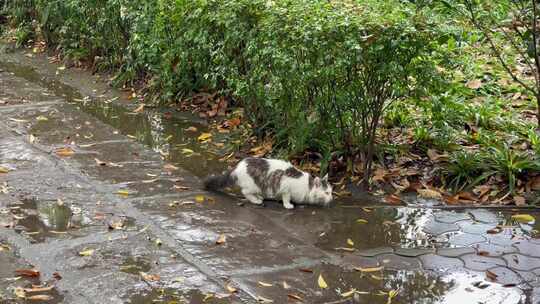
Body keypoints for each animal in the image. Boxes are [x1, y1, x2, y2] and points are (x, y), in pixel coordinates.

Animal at [202, 157, 332, 209]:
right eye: (326, 193)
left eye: (331, 192)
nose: (331, 199)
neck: (307, 186)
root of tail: (238, 166)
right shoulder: (286, 187)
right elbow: (286, 198)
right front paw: (288, 205)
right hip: (252, 185)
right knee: (245, 192)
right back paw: (257, 200)